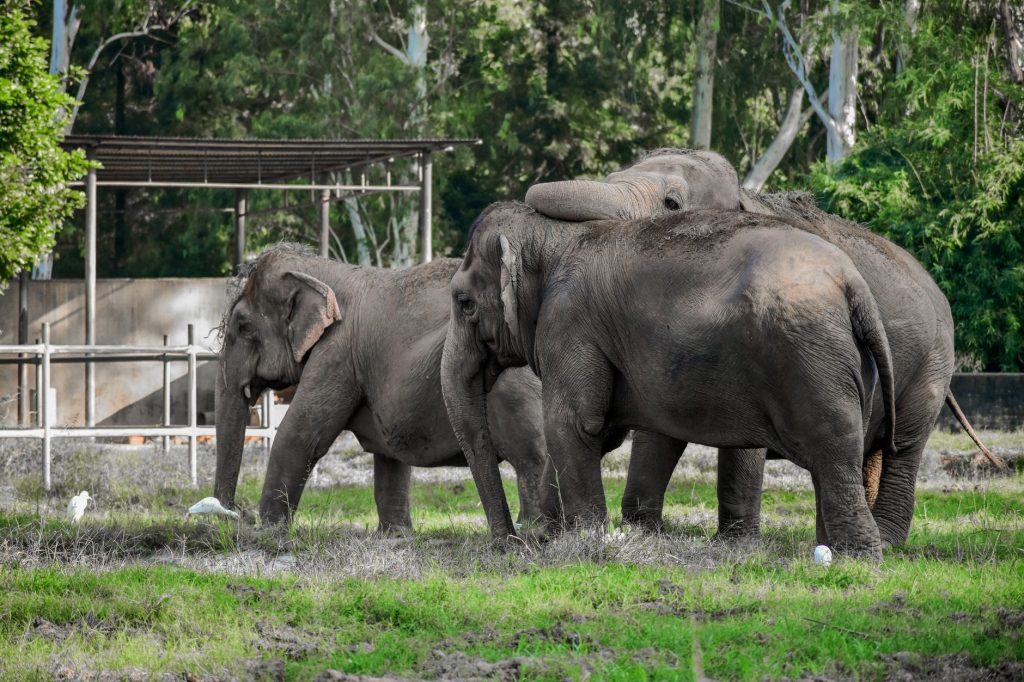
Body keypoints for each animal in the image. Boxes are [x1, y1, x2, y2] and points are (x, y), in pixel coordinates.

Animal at [214, 243, 558, 530]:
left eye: (244, 327)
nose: (235, 513)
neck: (326, 271)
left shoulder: (337, 353)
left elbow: (298, 434)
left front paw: (268, 533)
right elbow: (389, 454)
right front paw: (396, 536)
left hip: (514, 391)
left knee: (531, 457)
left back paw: (534, 529)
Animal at [441, 202, 896, 559]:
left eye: (463, 303)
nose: (510, 542)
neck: (554, 237)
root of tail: (853, 283)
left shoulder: (569, 324)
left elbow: (572, 424)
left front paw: (584, 544)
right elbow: (599, 431)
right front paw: (556, 537)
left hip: (810, 362)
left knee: (832, 453)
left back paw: (856, 559)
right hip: (847, 366)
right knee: (835, 458)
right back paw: (830, 550)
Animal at [525, 148, 1001, 548]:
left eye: (672, 203)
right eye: (610, 178)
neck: (744, 198)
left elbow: (737, 439)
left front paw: (736, 544)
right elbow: (659, 428)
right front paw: (642, 530)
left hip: (931, 364)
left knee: (905, 445)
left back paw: (886, 540)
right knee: (866, 446)